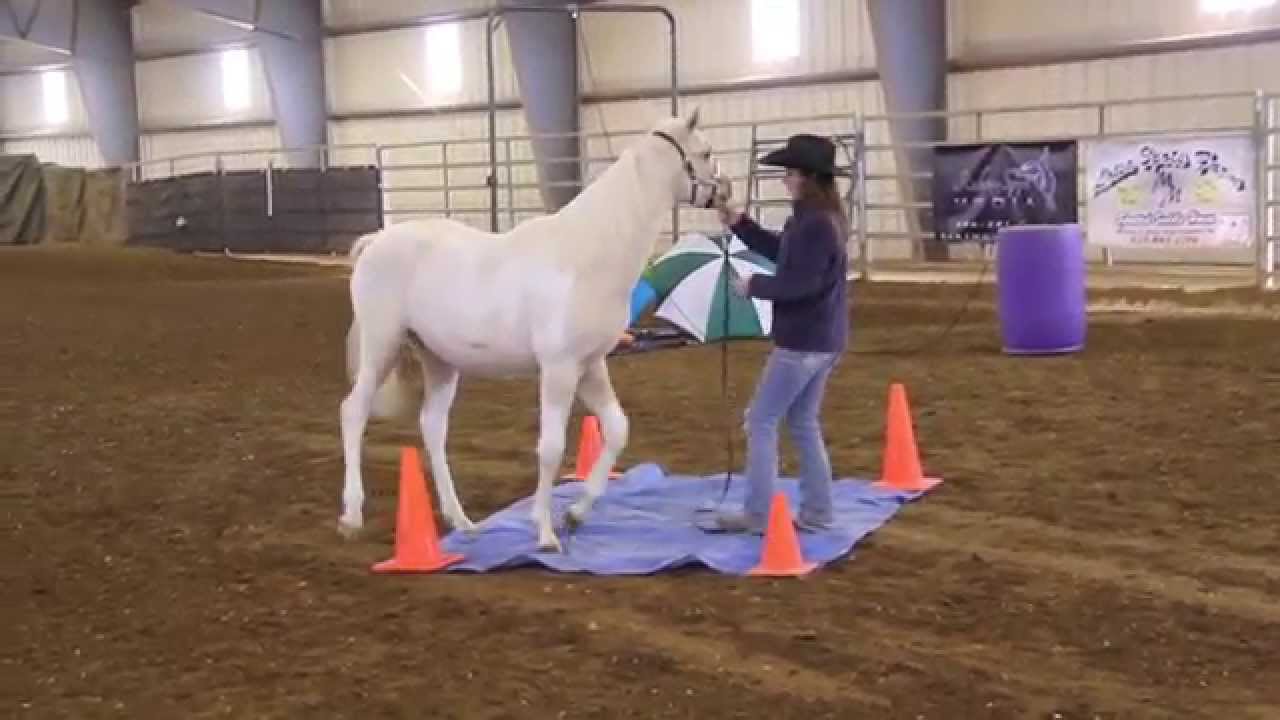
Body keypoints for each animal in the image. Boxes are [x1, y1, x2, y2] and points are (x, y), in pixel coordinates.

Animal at [338, 110, 724, 553]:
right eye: (705, 152)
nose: (725, 194)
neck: (585, 254)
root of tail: (375, 241)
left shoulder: (590, 366)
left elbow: (617, 429)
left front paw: (576, 513)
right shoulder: (559, 369)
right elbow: (551, 448)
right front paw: (545, 532)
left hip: (439, 361)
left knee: (433, 426)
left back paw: (461, 521)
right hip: (381, 345)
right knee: (354, 412)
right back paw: (352, 516)